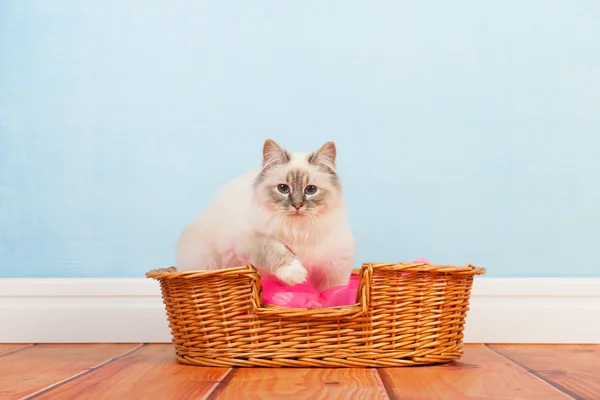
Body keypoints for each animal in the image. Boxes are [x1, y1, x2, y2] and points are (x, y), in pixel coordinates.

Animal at [176, 140, 358, 290]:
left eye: (311, 189)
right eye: (283, 188)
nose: (297, 205)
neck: (297, 230)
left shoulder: (335, 268)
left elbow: (332, 292)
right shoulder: (249, 240)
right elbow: (274, 248)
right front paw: (295, 273)